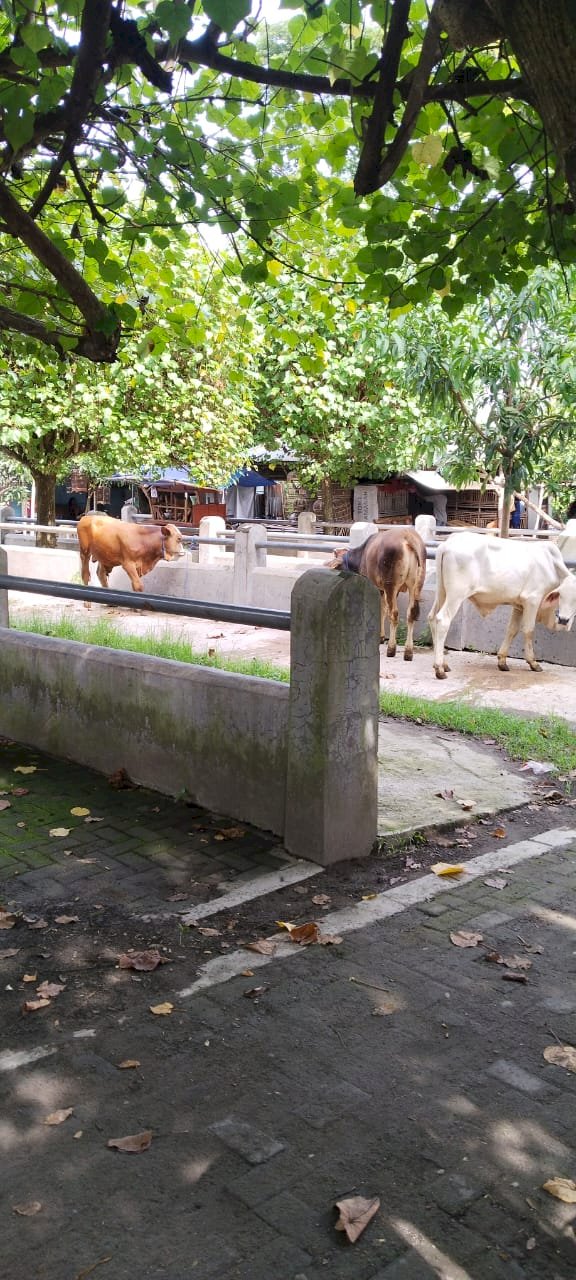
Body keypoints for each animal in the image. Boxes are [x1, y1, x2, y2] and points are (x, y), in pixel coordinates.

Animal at [326, 524, 424, 660]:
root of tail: (407, 537)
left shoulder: (375, 587)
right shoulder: (386, 590)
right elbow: (383, 609)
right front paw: (381, 637)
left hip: (391, 584)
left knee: (394, 614)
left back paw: (391, 649)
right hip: (415, 587)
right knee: (411, 613)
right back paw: (408, 652)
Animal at [430, 527, 576, 680]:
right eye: (561, 596)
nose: (563, 620)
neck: (551, 565)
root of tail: (447, 544)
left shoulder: (519, 606)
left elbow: (512, 629)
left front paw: (502, 661)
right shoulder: (532, 600)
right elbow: (529, 630)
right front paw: (533, 662)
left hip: (442, 592)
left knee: (432, 617)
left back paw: (443, 664)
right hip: (456, 595)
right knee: (442, 620)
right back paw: (439, 669)